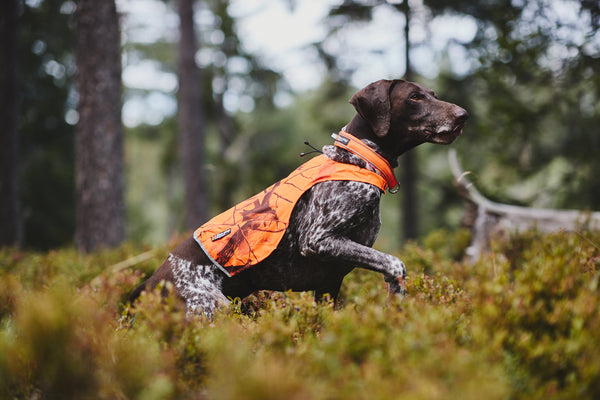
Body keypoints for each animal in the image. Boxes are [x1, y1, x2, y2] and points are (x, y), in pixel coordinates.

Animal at [129, 79, 468, 318]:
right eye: (414, 97)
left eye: (432, 93)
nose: (464, 115)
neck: (358, 159)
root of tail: (148, 285)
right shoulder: (318, 239)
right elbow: (395, 263)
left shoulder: (328, 284)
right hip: (214, 309)